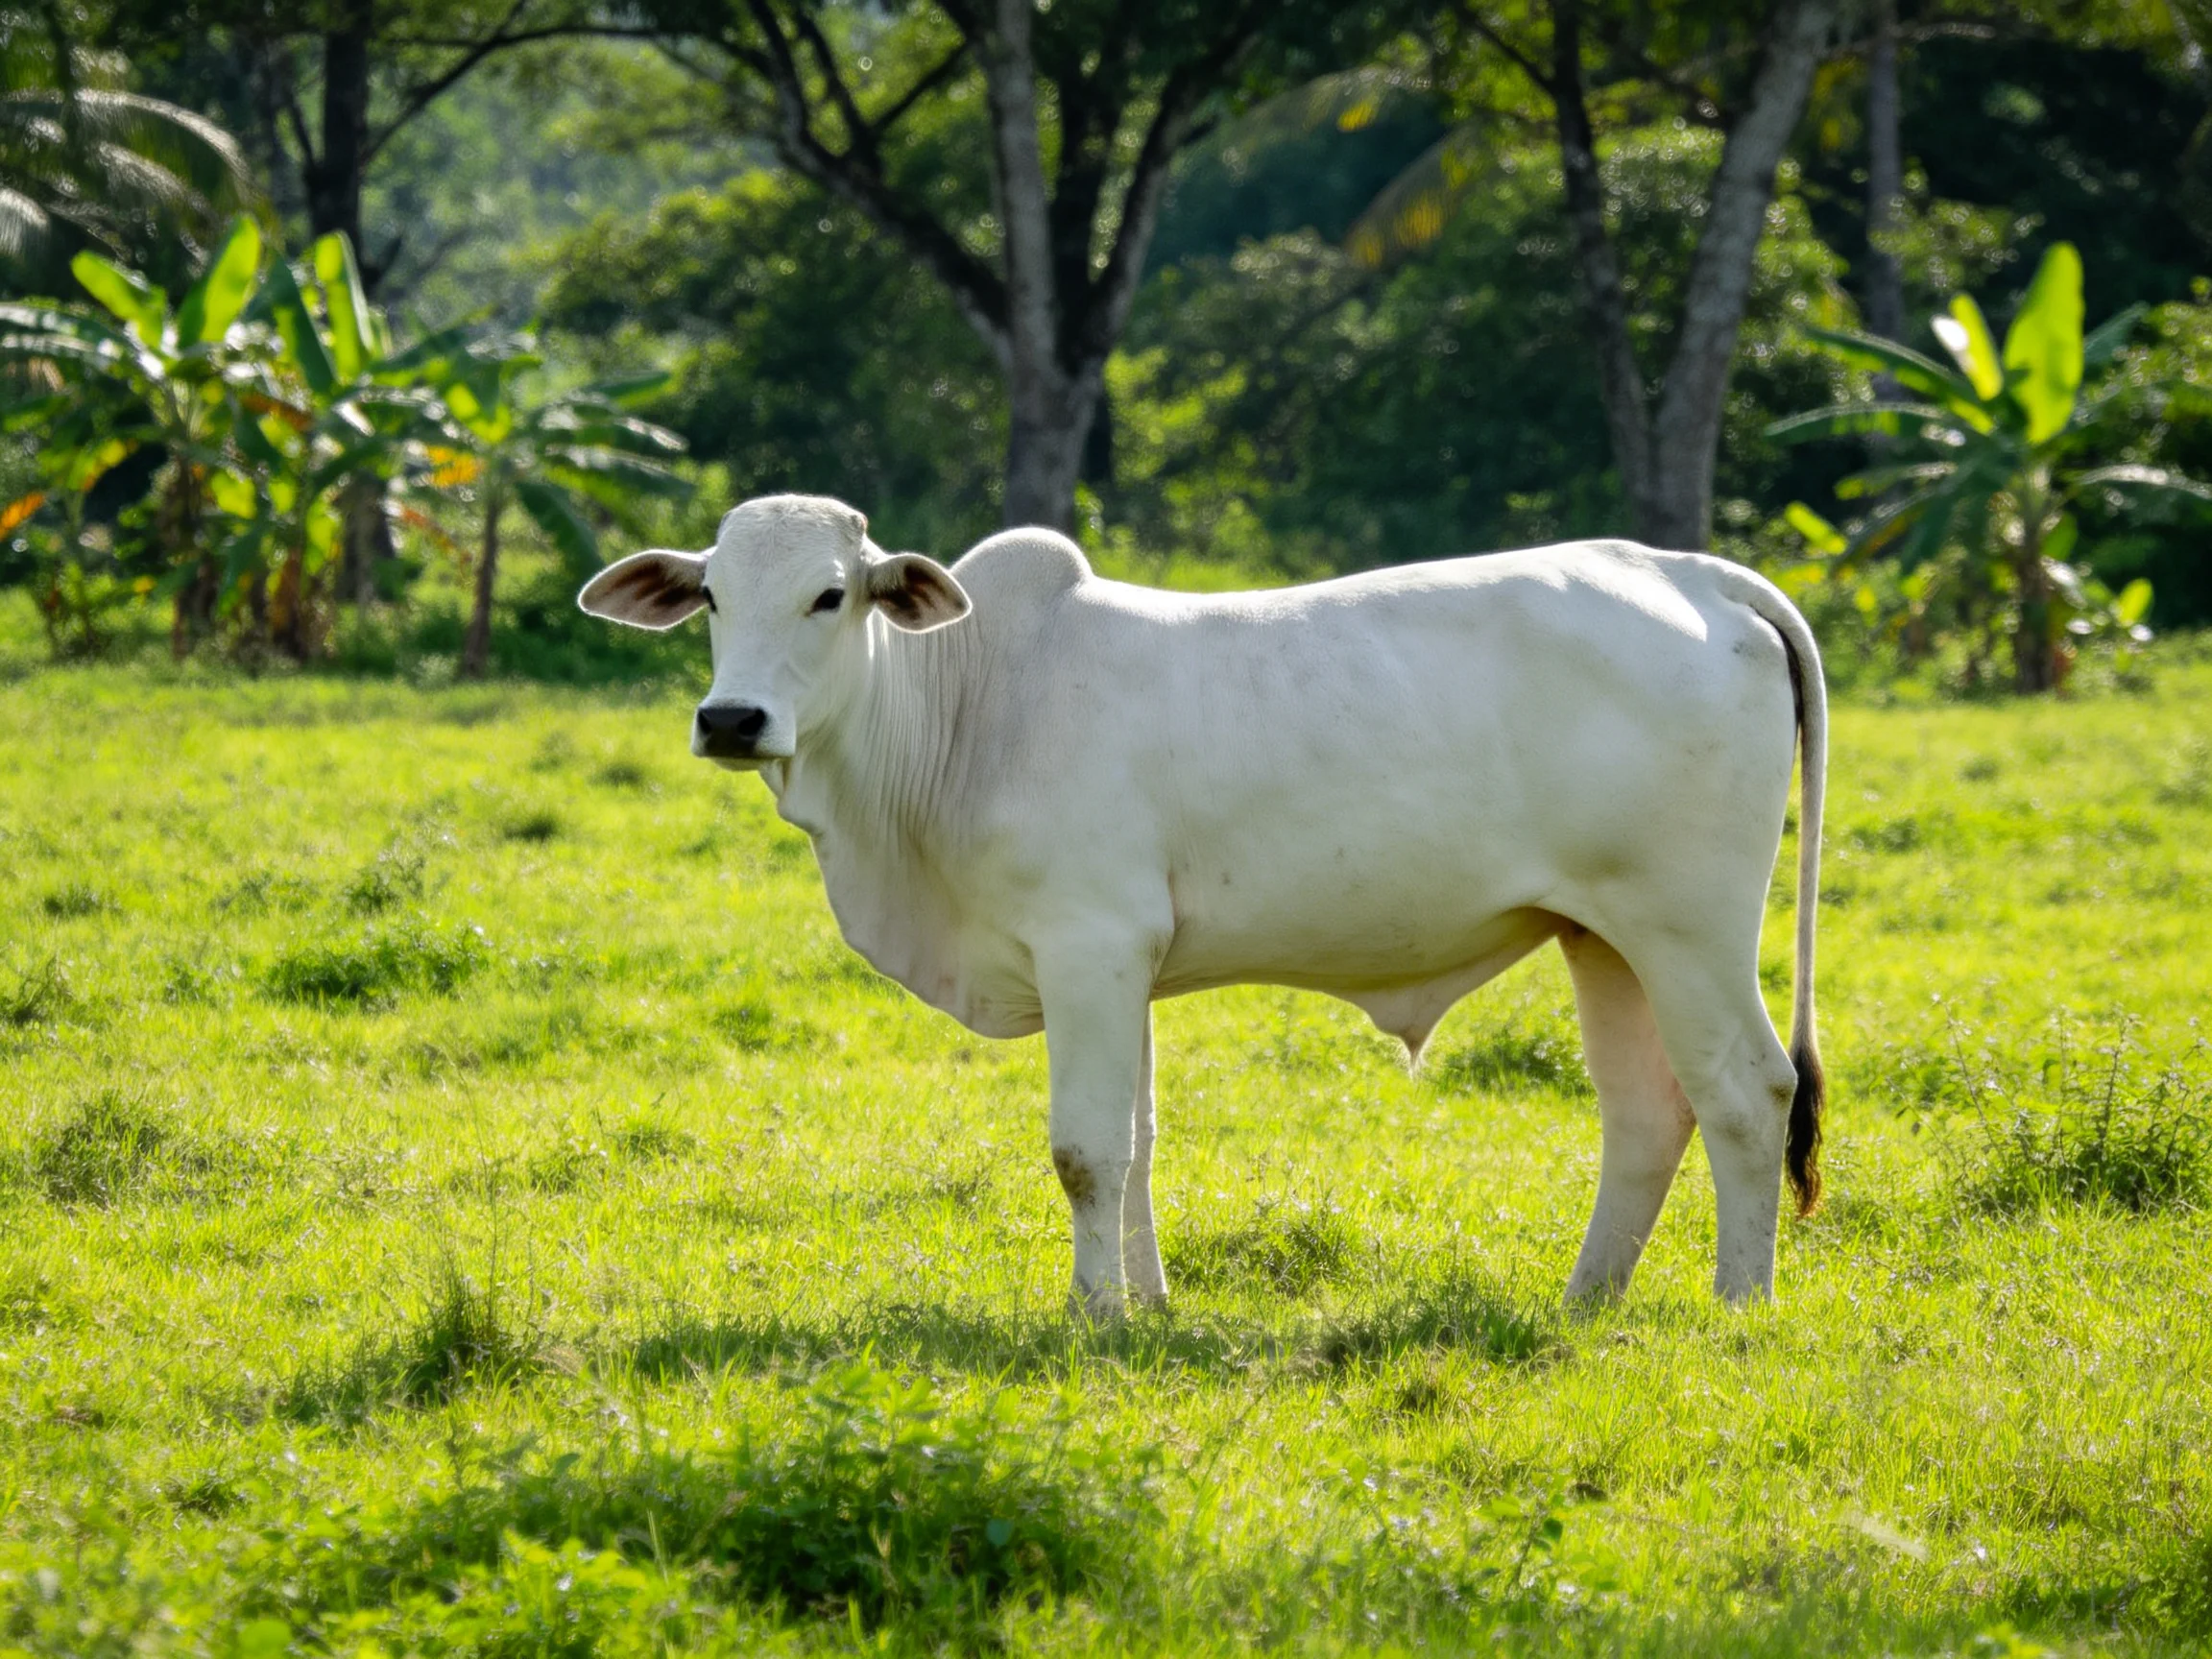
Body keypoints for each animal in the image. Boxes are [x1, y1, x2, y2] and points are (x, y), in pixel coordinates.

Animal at [579, 493, 1828, 1311]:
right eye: (710, 596)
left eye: (830, 595)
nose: (731, 719)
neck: (968, 708)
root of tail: (1690, 572)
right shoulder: (1123, 968)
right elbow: (1135, 1143)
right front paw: (1150, 1309)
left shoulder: (1087, 947)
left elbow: (1086, 1149)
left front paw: (1091, 1317)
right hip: (1601, 936)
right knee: (1646, 1113)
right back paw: (1584, 1304)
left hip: (1690, 927)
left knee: (1747, 1094)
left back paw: (1739, 1307)